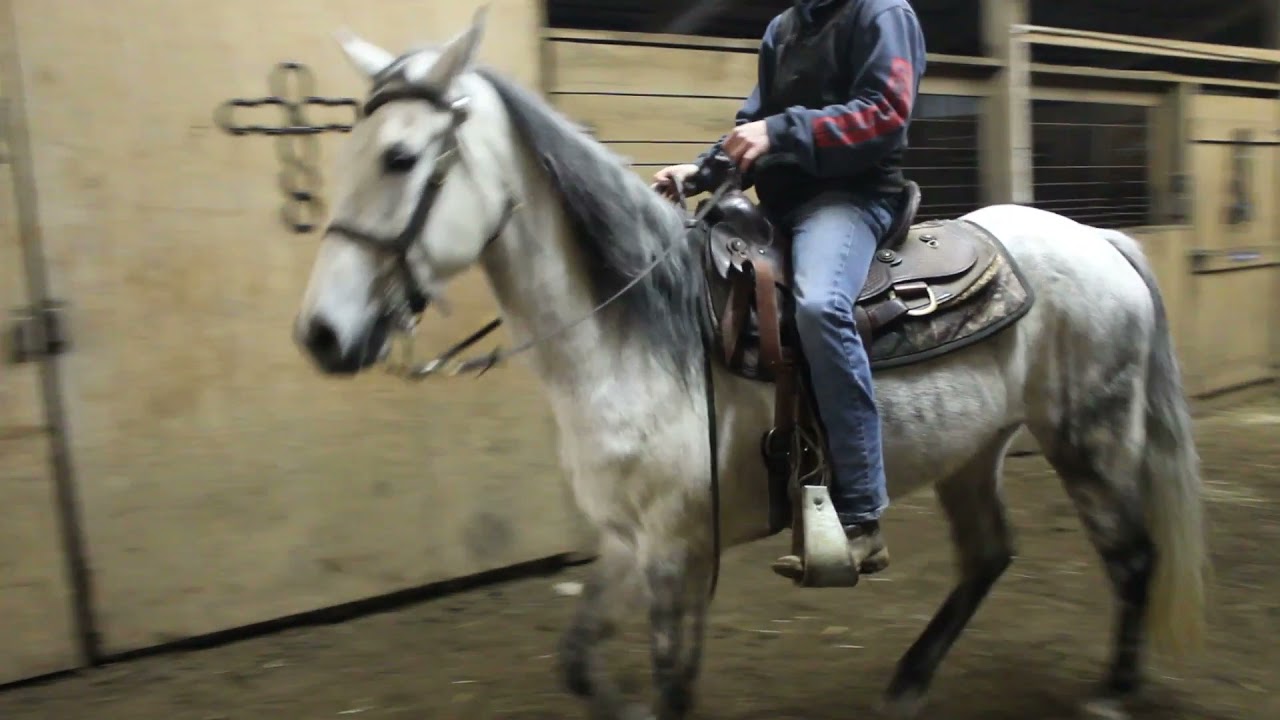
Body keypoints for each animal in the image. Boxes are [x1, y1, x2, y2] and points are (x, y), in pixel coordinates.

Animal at [291, 11, 1207, 720]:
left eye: (401, 158)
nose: (322, 335)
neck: (634, 333)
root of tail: (1103, 242)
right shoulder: (626, 539)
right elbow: (580, 663)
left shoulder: (675, 549)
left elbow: (672, 685)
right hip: (973, 452)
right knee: (988, 555)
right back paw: (907, 682)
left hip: (1088, 438)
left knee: (1132, 555)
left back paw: (1112, 690)